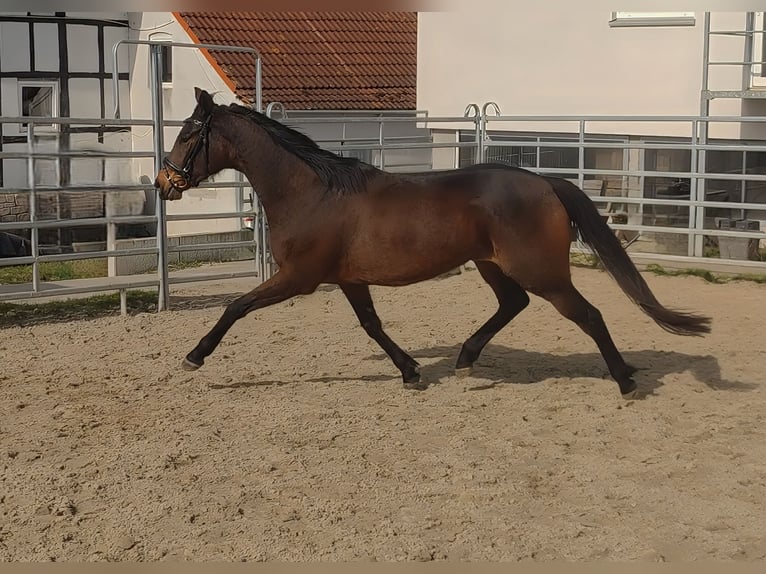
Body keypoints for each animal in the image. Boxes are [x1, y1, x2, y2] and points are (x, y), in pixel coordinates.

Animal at [154, 88, 711, 399]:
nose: (164, 182)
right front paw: (410, 371)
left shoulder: (299, 278)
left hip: (542, 271)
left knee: (588, 315)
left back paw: (626, 382)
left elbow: (235, 306)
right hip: (493, 265)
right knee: (514, 304)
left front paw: (195, 356)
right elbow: (372, 326)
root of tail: (545, 182)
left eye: (188, 134)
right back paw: (466, 359)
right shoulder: (349, 279)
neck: (312, 191)